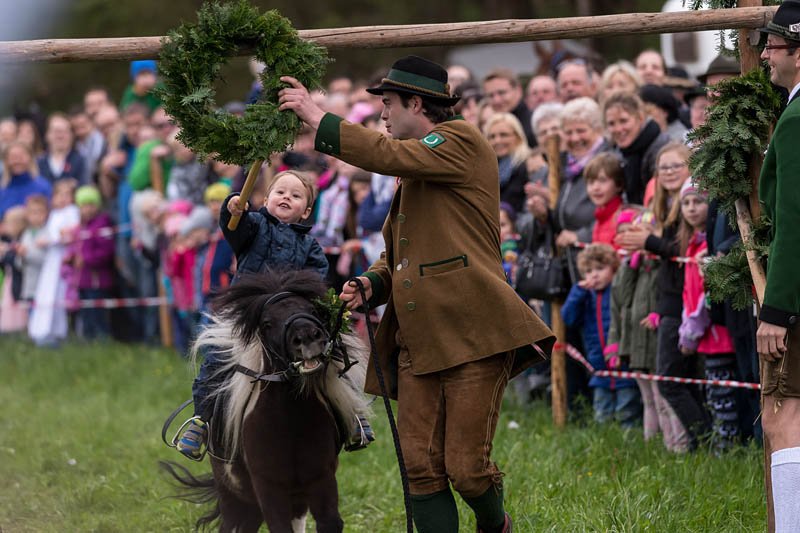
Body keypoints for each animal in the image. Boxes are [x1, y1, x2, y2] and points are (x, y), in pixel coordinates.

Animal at [163, 270, 376, 532]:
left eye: (313, 310)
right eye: (266, 323)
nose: (308, 338)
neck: (291, 422)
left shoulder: (321, 479)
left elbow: (329, 521)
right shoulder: (268, 488)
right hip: (235, 497)